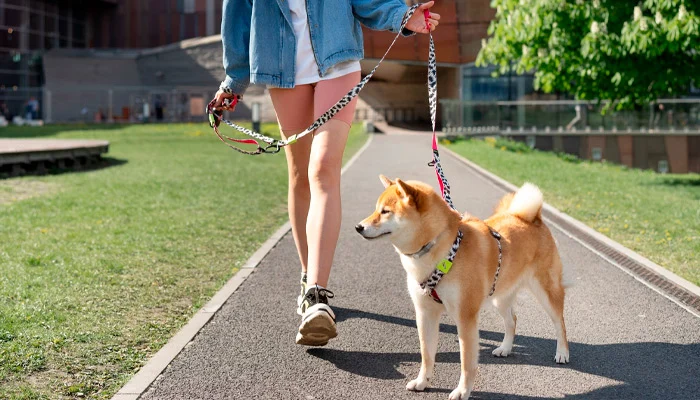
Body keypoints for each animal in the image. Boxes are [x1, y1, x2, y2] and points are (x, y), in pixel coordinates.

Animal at [352, 177, 572, 398]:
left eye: (385, 211)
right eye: (376, 209)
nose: (358, 227)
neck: (440, 248)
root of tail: (532, 218)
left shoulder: (466, 317)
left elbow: (466, 362)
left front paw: (462, 391)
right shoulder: (424, 313)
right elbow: (427, 355)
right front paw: (422, 381)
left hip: (546, 290)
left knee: (559, 323)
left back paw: (562, 353)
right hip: (500, 296)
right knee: (512, 320)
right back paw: (505, 348)